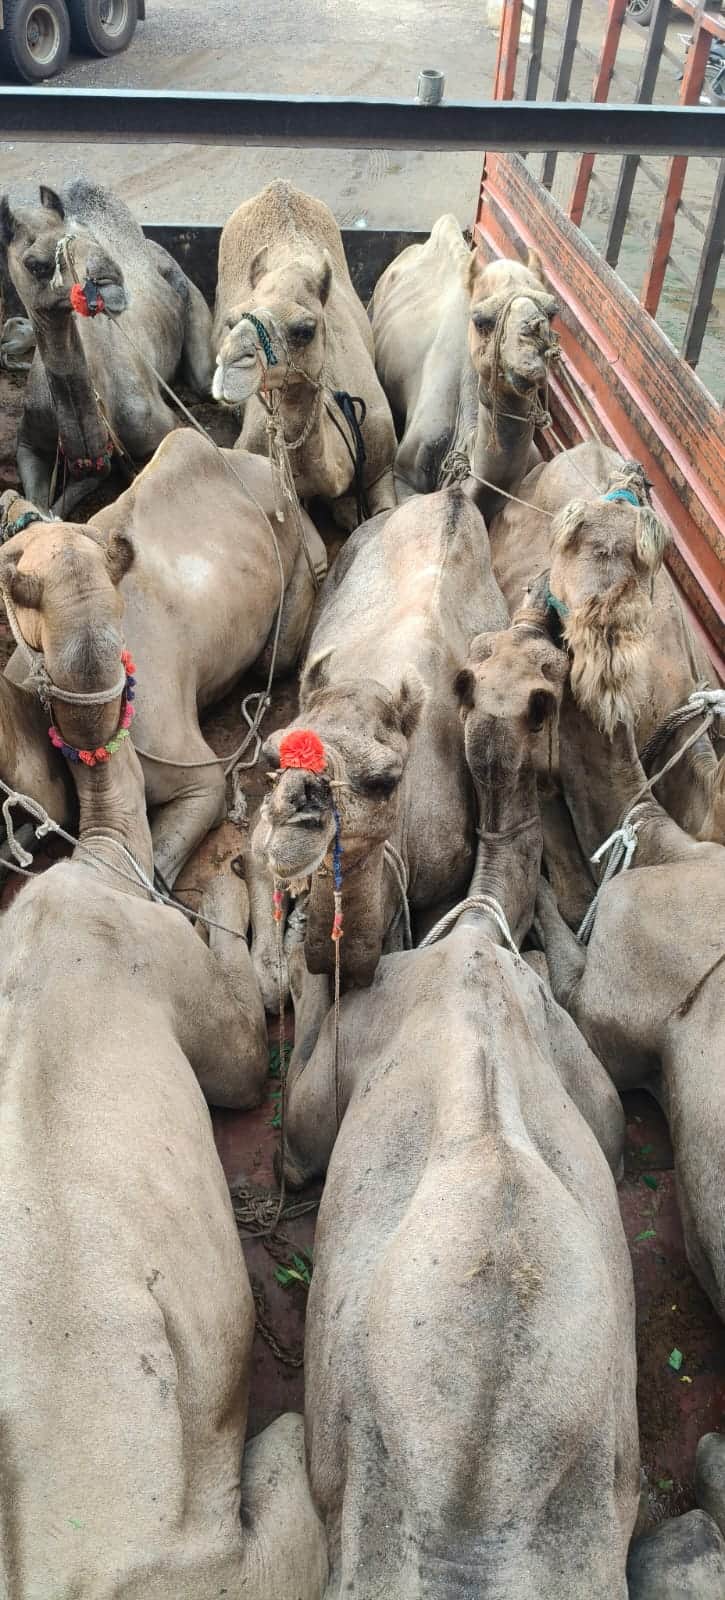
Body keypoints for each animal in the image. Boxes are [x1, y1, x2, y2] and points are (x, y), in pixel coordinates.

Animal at [0, 180, 213, 516]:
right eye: (35, 264)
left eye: (87, 237)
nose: (110, 280)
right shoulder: (27, 442)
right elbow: (39, 504)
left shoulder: (160, 428)